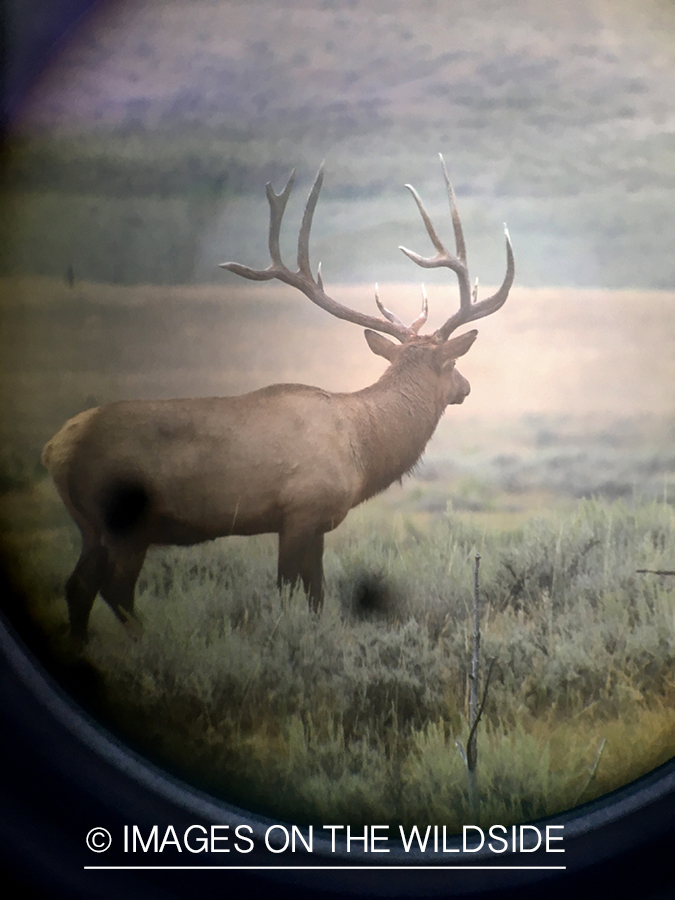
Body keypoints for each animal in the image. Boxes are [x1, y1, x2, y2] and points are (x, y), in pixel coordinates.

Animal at [42, 155, 516, 640]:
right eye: (452, 365)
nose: (466, 388)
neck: (362, 448)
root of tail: (54, 449)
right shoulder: (299, 510)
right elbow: (289, 591)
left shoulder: (319, 524)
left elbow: (317, 595)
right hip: (125, 522)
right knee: (116, 591)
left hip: (91, 527)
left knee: (78, 588)